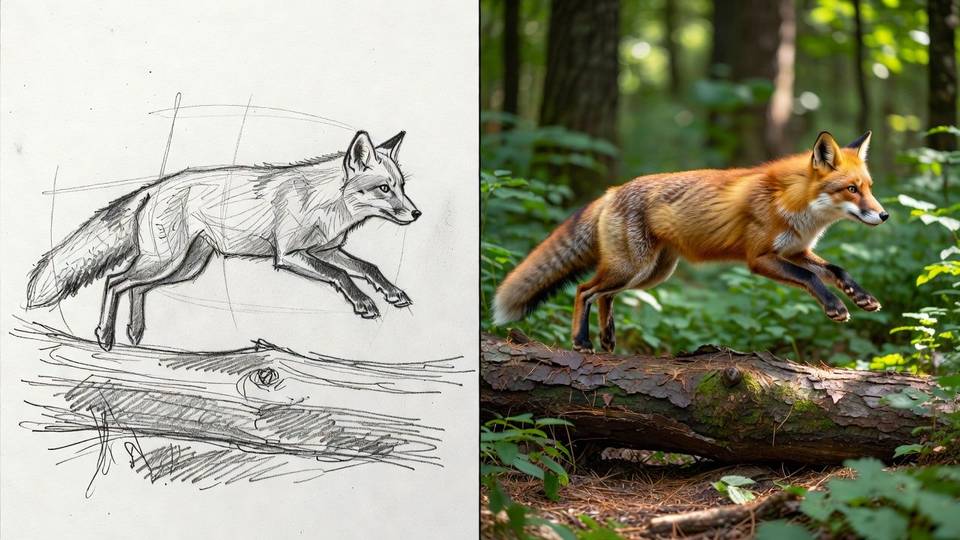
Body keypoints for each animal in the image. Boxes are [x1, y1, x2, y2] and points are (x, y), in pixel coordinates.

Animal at [26, 130, 420, 351]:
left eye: (401, 186)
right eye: (384, 189)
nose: (416, 214)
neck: (325, 202)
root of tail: (152, 188)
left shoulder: (326, 249)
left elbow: (368, 267)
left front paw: (392, 293)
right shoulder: (290, 255)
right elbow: (340, 276)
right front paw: (364, 303)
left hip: (184, 267)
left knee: (135, 287)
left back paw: (135, 332)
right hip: (165, 261)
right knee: (114, 280)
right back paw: (105, 335)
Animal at [494, 130, 888, 353]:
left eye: (869, 187)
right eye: (851, 189)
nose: (884, 215)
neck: (795, 204)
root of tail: (612, 191)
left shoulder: (796, 250)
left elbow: (836, 268)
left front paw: (860, 296)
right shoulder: (759, 258)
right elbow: (809, 278)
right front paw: (835, 306)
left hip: (651, 274)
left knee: (604, 295)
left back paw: (607, 338)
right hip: (632, 268)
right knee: (584, 290)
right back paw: (582, 341)